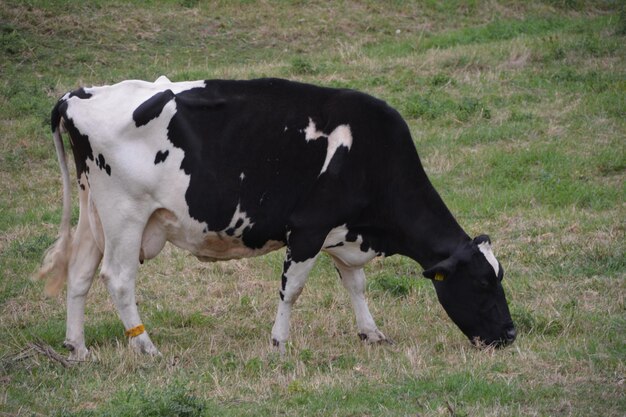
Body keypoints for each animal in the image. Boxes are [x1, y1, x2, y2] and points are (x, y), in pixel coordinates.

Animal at [39, 76, 516, 360]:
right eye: (481, 283)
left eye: (499, 277)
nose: (511, 334)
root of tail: (78, 95)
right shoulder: (308, 229)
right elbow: (292, 289)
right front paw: (279, 343)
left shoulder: (342, 232)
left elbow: (356, 285)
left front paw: (371, 332)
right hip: (125, 214)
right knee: (117, 279)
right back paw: (148, 349)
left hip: (94, 213)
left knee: (79, 274)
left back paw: (77, 347)